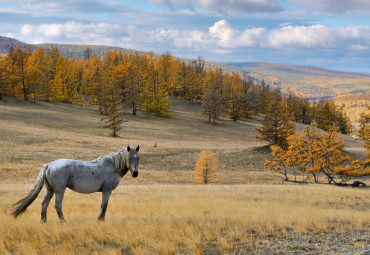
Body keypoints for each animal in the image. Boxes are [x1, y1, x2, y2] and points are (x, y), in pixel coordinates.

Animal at [11, 145, 139, 221]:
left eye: (138, 158)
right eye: (129, 157)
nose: (135, 173)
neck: (112, 167)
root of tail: (49, 165)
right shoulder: (107, 190)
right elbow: (104, 205)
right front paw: (100, 220)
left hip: (50, 190)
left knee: (44, 204)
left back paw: (44, 221)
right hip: (59, 190)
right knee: (57, 205)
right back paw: (63, 222)